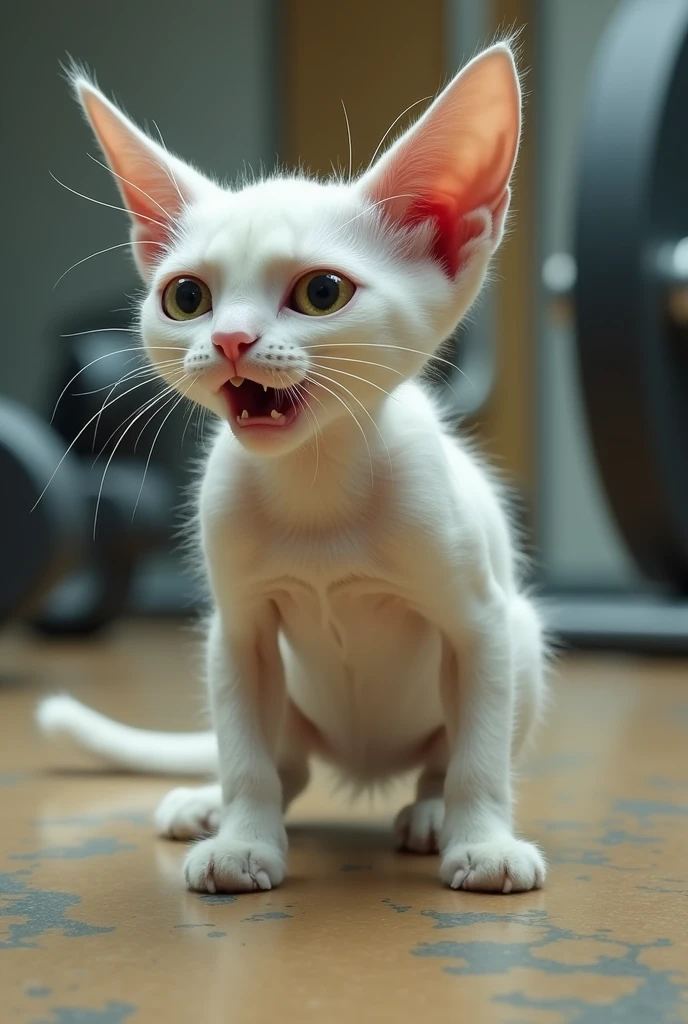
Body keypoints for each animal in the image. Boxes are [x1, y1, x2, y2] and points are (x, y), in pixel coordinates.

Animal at [40, 46, 548, 897]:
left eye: (321, 291)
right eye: (186, 297)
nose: (232, 340)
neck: (316, 487)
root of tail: (363, 763)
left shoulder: (482, 620)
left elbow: (479, 751)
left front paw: (482, 838)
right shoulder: (238, 628)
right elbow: (247, 754)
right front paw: (245, 836)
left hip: (525, 637)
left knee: (448, 749)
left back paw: (430, 809)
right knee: (287, 765)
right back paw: (212, 803)